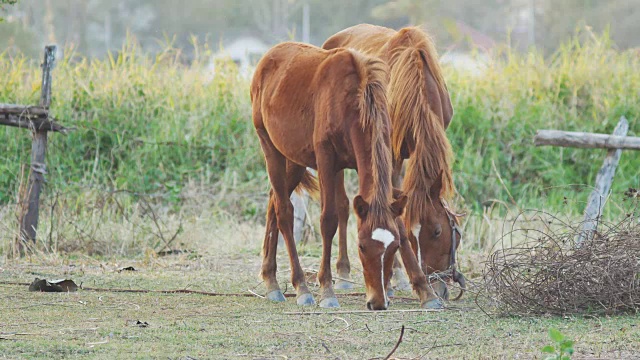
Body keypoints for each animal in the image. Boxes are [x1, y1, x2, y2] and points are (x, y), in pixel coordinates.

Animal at [250, 41, 436, 310]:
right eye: (362, 246)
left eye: (393, 248)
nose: (377, 302)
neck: (351, 102)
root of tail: (268, 58)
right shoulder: (326, 159)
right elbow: (328, 220)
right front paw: (327, 290)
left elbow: (399, 224)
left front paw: (426, 292)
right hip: (270, 147)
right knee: (284, 210)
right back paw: (299, 286)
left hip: (294, 160)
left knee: (273, 202)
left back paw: (270, 279)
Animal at [324, 23, 464, 302]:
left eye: (437, 232)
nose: (438, 287)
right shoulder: (391, 155)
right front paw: (391, 280)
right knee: (343, 206)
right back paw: (343, 273)